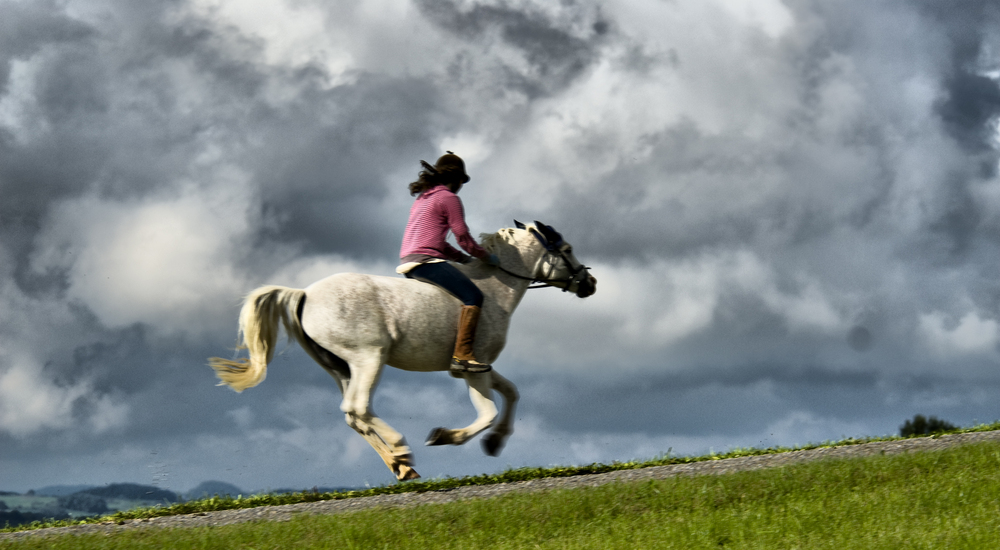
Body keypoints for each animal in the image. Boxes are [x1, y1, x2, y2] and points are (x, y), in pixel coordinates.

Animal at [204, 222, 592, 480]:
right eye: (567, 249)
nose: (590, 282)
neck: (495, 290)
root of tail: (304, 294)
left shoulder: (482, 367)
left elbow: (511, 393)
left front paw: (495, 443)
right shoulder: (472, 369)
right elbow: (487, 413)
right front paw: (446, 436)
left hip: (340, 367)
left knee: (353, 415)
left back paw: (401, 467)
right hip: (368, 358)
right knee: (358, 407)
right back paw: (403, 451)